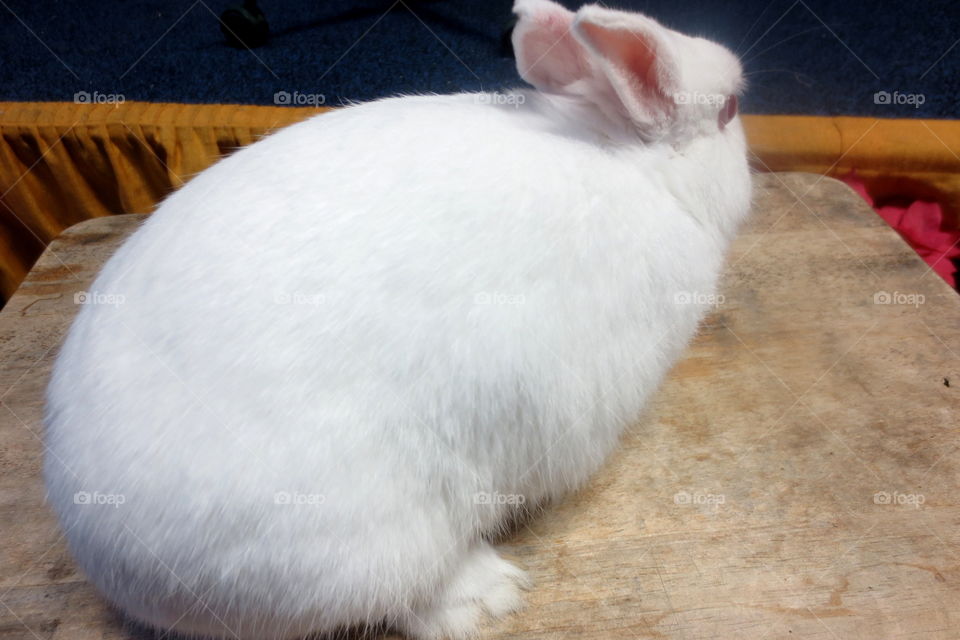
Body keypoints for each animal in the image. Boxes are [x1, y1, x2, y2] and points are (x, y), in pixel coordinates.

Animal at [42, 1, 751, 638]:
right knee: (404, 598)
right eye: (728, 111)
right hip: (377, 542)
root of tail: (112, 562)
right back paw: (490, 597)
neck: (627, 158)